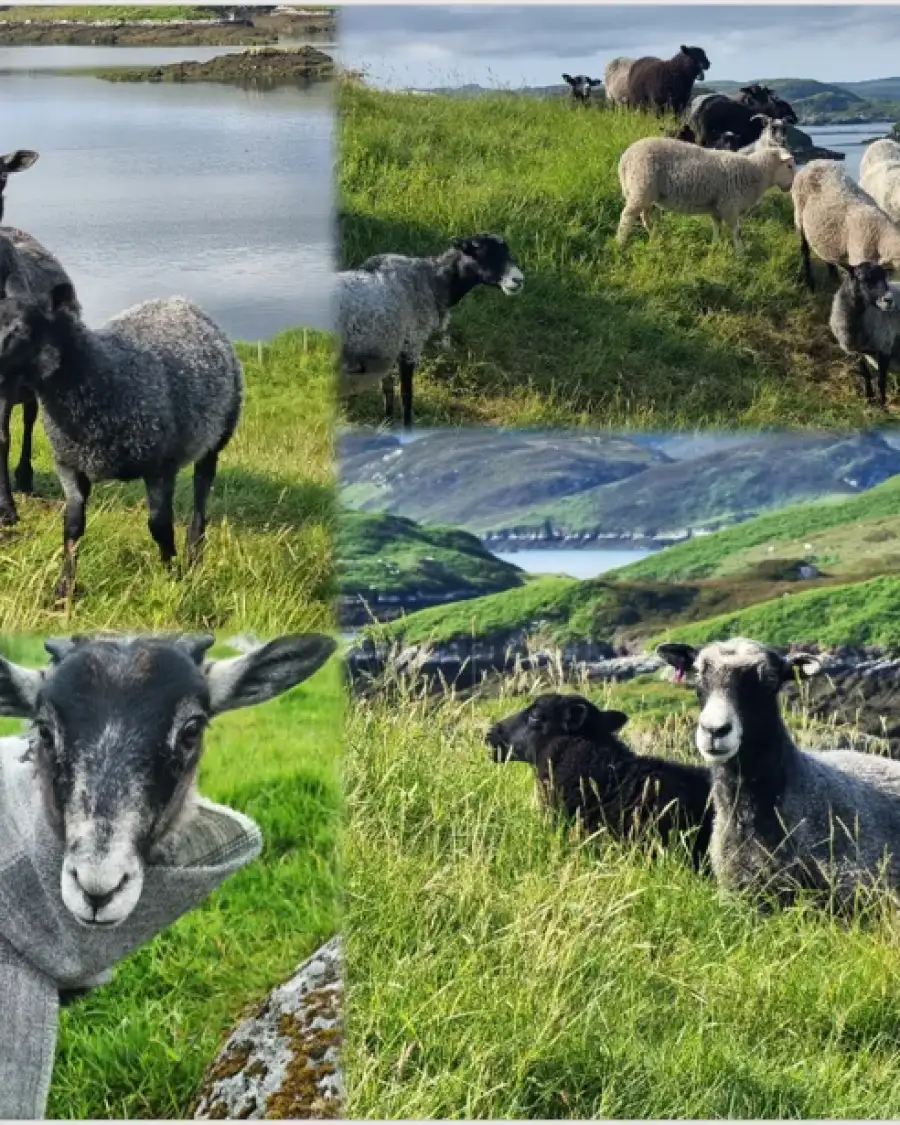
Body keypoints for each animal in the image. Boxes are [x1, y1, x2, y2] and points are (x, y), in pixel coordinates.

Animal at [0, 280, 242, 601]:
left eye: (24, 329)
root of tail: (182, 302)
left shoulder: (160, 466)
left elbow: (159, 525)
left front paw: (172, 575)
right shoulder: (69, 463)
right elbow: (72, 527)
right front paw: (64, 589)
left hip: (217, 435)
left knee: (201, 494)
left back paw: (194, 554)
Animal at [338, 233, 524, 430]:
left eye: (507, 252)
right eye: (484, 253)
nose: (518, 280)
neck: (433, 282)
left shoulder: (387, 346)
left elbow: (387, 389)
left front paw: (387, 422)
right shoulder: (410, 344)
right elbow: (406, 395)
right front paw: (406, 428)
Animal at [617, 137, 795, 251]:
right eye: (789, 166)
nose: (790, 187)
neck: (756, 171)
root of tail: (625, 159)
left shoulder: (717, 207)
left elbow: (717, 227)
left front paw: (715, 245)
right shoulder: (729, 206)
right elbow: (736, 231)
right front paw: (741, 252)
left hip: (643, 192)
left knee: (644, 217)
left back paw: (654, 238)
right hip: (641, 185)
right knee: (627, 216)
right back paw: (619, 242)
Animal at [791, 159, 900, 291]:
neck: (879, 233)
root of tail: (814, 161)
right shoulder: (859, 255)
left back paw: (833, 276)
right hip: (799, 214)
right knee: (804, 249)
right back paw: (810, 283)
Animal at [828, 260, 900, 406]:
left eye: (885, 277)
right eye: (863, 278)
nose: (889, 301)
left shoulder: (884, 346)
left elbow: (881, 380)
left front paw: (882, 405)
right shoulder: (856, 352)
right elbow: (865, 375)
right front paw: (869, 398)